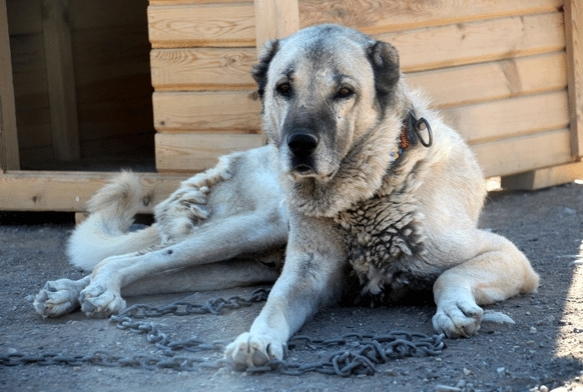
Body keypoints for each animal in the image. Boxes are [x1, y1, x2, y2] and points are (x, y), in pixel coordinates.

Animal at [34, 23, 540, 368]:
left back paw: (74, 293)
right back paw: (88, 291)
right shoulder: (305, 278)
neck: (373, 186)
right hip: (251, 230)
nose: (298, 145)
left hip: (230, 266)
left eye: (344, 91)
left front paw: (454, 308)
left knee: (148, 267)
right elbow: (275, 304)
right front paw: (257, 340)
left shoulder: (506, 255)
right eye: (283, 88)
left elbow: (446, 277)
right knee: (128, 259)